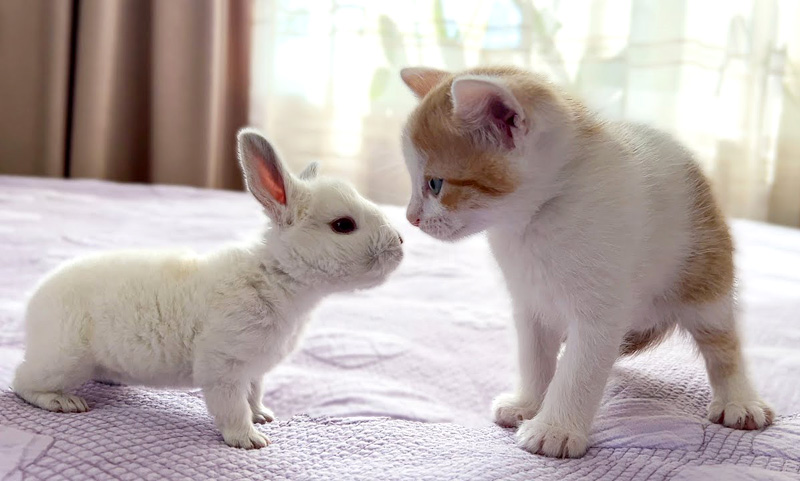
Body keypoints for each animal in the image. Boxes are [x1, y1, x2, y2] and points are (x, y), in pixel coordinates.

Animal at [14, 126, 406, 446]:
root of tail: (35, 302)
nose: (401, 242)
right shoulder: (224, 366)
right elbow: (231, 407)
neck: (276, 276)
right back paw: (63, 401)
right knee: (21, 382)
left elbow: (253, 395)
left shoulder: (253, 371)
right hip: (65, 360)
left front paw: (263, 416)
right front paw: (250, 440)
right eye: (343, 225)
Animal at [400, 65, 776, 456]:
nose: (411, 217)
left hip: (705, 273)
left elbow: (579, 369)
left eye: (435, 184)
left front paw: (554, 428)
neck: (536, 220)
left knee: (722, 342)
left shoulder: (601, 311)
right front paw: (528, 403)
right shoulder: (530, 303)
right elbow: (534, 357)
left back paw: (739, 400)